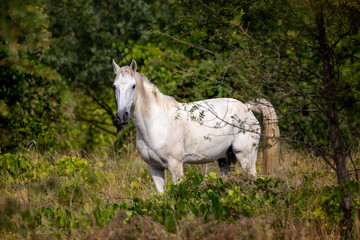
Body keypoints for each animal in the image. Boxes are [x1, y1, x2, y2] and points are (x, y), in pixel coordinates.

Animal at [111, 60, 280, 193]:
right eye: (114, 86)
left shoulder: (175, 166)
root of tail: (246, 108)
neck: (155, 123)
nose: (122, 116)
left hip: (246, 157)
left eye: (133, 86)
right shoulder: (154, 168)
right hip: (226, 160)